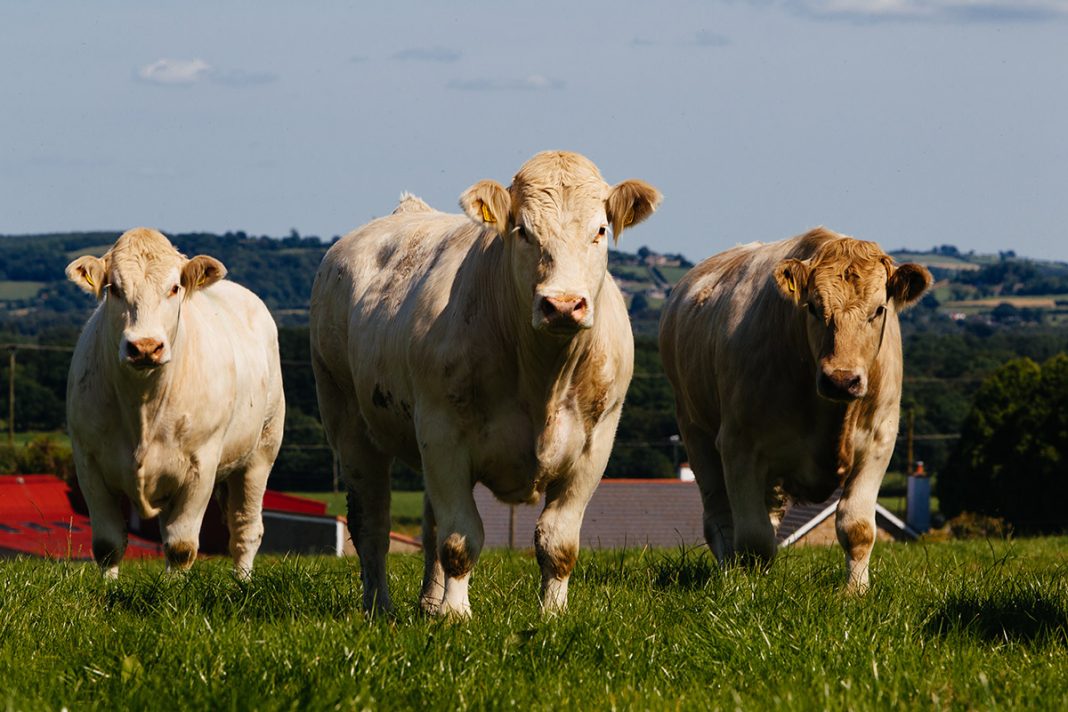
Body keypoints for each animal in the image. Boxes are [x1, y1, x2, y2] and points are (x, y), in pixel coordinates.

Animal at [65, 228, 286, 580]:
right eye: (114, 288)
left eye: (174, 288)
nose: (145, 346)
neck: (142, 404)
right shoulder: (88, 462)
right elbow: (107, 543)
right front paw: (108, 587)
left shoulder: (201, 465)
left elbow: (181, 546)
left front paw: (173, 589)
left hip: (261, 452)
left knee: (245, 528)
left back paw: (242, 582)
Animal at [309, 151, 657, 619]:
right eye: (523, 230)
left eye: (600, 230)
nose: (563, 305)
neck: (543, 378)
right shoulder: (442, 436)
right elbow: (460, 538)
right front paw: (457, 614)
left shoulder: (594, 446)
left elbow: (558, 542)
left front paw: (552, 614)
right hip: (348, 421)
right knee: (372, 524)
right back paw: (379, 607)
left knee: (428, 525)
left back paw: (429, 603)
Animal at [657, 228, 927, 589]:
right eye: (812, 307)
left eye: (879, 309)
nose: (841, 380)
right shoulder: (739, 446)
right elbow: (753, 538)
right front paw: (750, 590)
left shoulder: (878, 443)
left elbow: (857, 528)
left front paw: (855, 590)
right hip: (695, 431)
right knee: (720, 521)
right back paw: (729, 576)